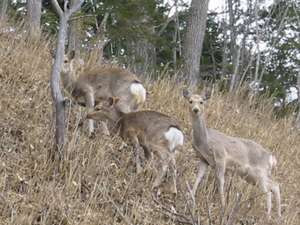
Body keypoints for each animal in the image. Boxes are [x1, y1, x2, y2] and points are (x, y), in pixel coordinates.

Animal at [182, 89, 282, 218]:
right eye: (190, 101)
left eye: (201, 101)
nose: (195, 110)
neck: (205, 140)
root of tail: (272, 158)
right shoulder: (204, 159)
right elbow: (198, 177)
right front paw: (191, 197)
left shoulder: (221, 157)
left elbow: (220, 182)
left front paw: (223, 205)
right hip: (251, 176)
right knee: (274, 185)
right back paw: (278, 216)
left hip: (260, 172)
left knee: (269, 190)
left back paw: (268, 216)